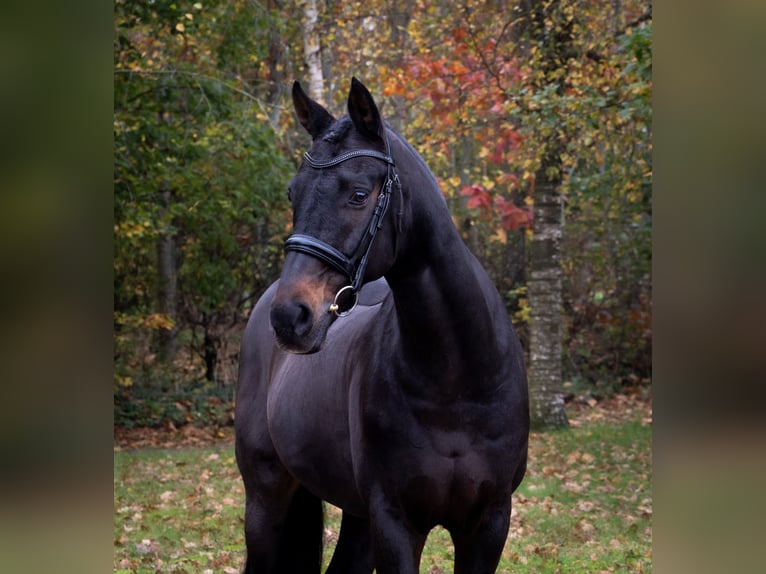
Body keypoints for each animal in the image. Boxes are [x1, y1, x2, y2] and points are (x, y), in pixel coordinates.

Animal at [237, 77, 532, 574]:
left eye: (358, 194)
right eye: (293, 194)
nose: (291, 317)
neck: (455, 382)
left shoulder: (489, 523)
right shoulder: (395, 521)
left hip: (355, 515)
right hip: (266, 497)